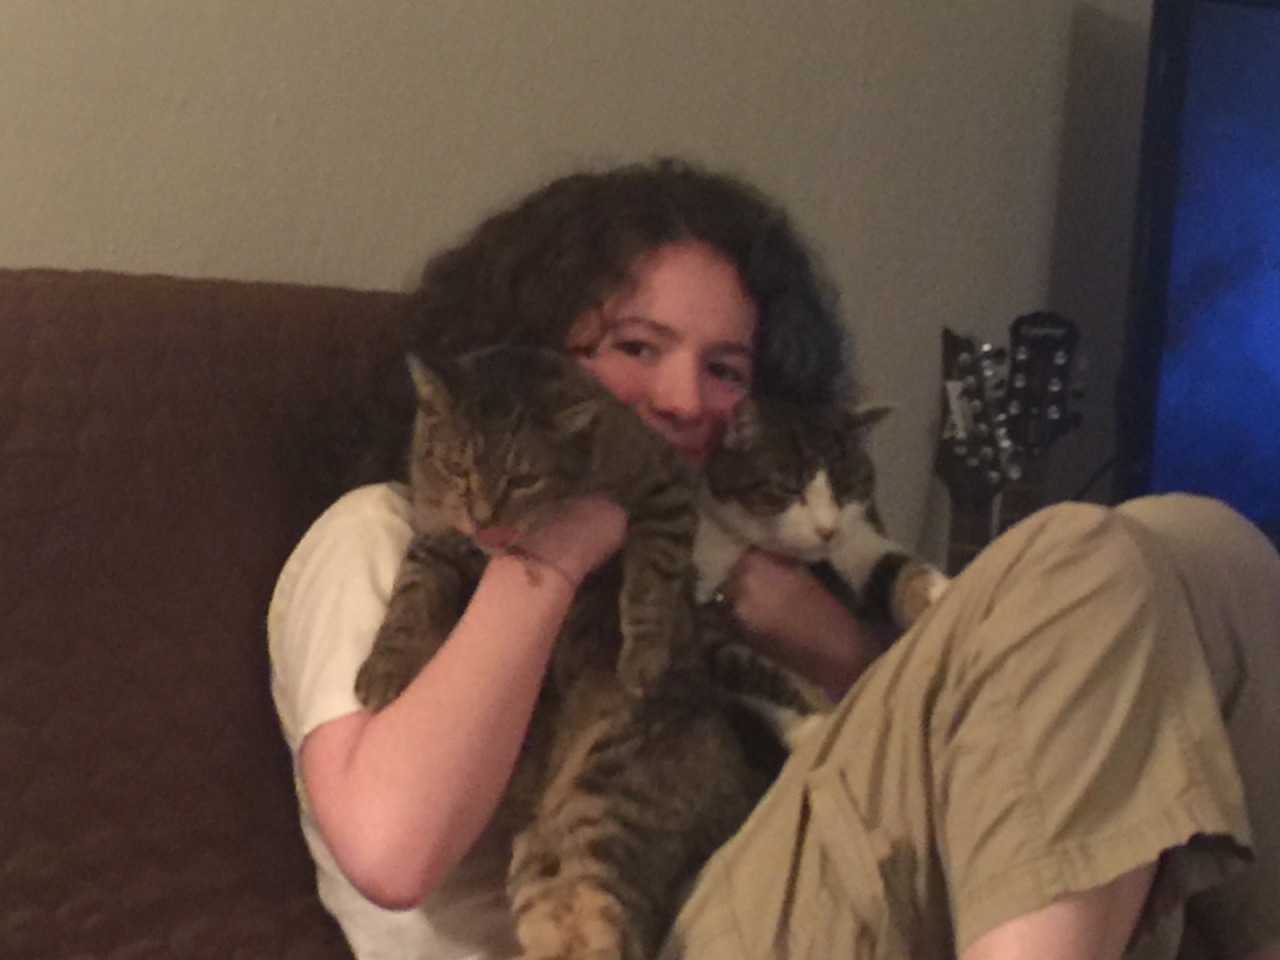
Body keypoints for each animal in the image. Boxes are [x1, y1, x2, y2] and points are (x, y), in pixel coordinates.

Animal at [354, 344, 825, 960]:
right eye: (457, 467)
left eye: (523, 478)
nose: (483, 518)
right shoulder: (433, 537)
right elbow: (407, 604)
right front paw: (383, 668)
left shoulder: (663, 489)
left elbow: (652, 576)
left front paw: (644, 652)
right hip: (541, 859)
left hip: (601, 809)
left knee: (615, 928)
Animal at [695, 393, 949, 634]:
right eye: (790, 489)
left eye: (846, 488)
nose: (828, 530)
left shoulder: (857, 535)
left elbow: (891, 567)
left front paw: (936, 592)